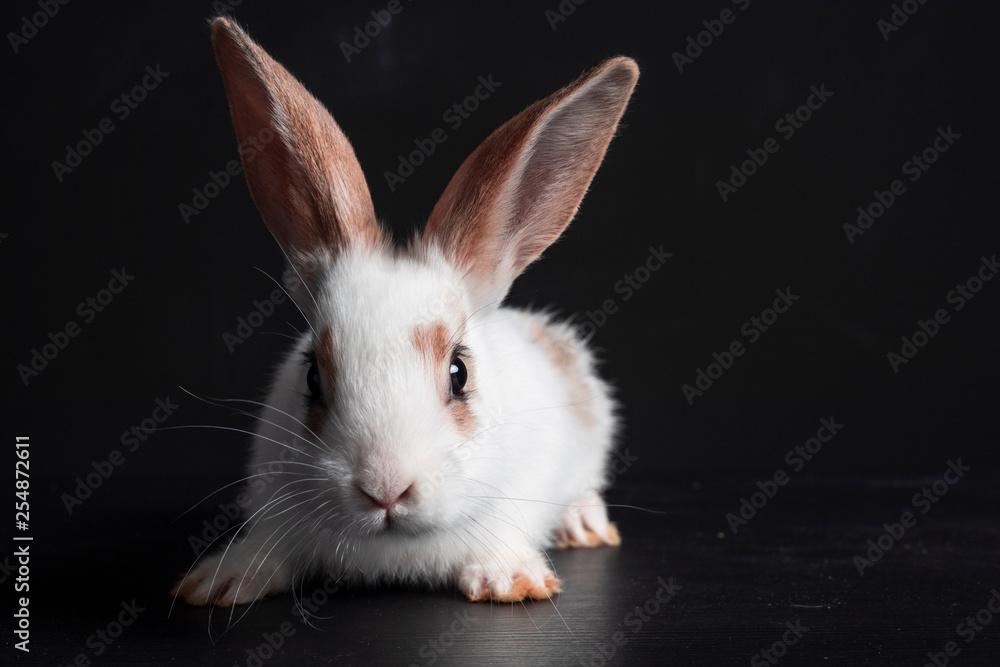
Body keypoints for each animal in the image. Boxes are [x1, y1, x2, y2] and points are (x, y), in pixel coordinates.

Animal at [172, 15, 638, 607]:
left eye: (459, 373)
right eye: (313, 376)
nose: (385, 488)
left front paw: (510, 579)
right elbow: (266, 547)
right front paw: (222, 580)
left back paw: (584, 524)